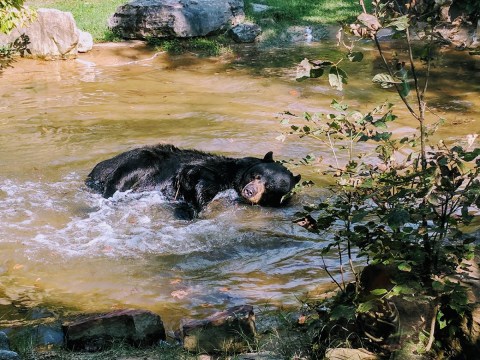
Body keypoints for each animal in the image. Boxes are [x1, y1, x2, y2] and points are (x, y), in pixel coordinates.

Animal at [86, 145, 300, 218]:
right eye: (256, 176)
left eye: (269, 188)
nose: (250, 191)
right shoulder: (219, 169)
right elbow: (196, 174)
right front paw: (195, 206)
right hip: (139, 160)